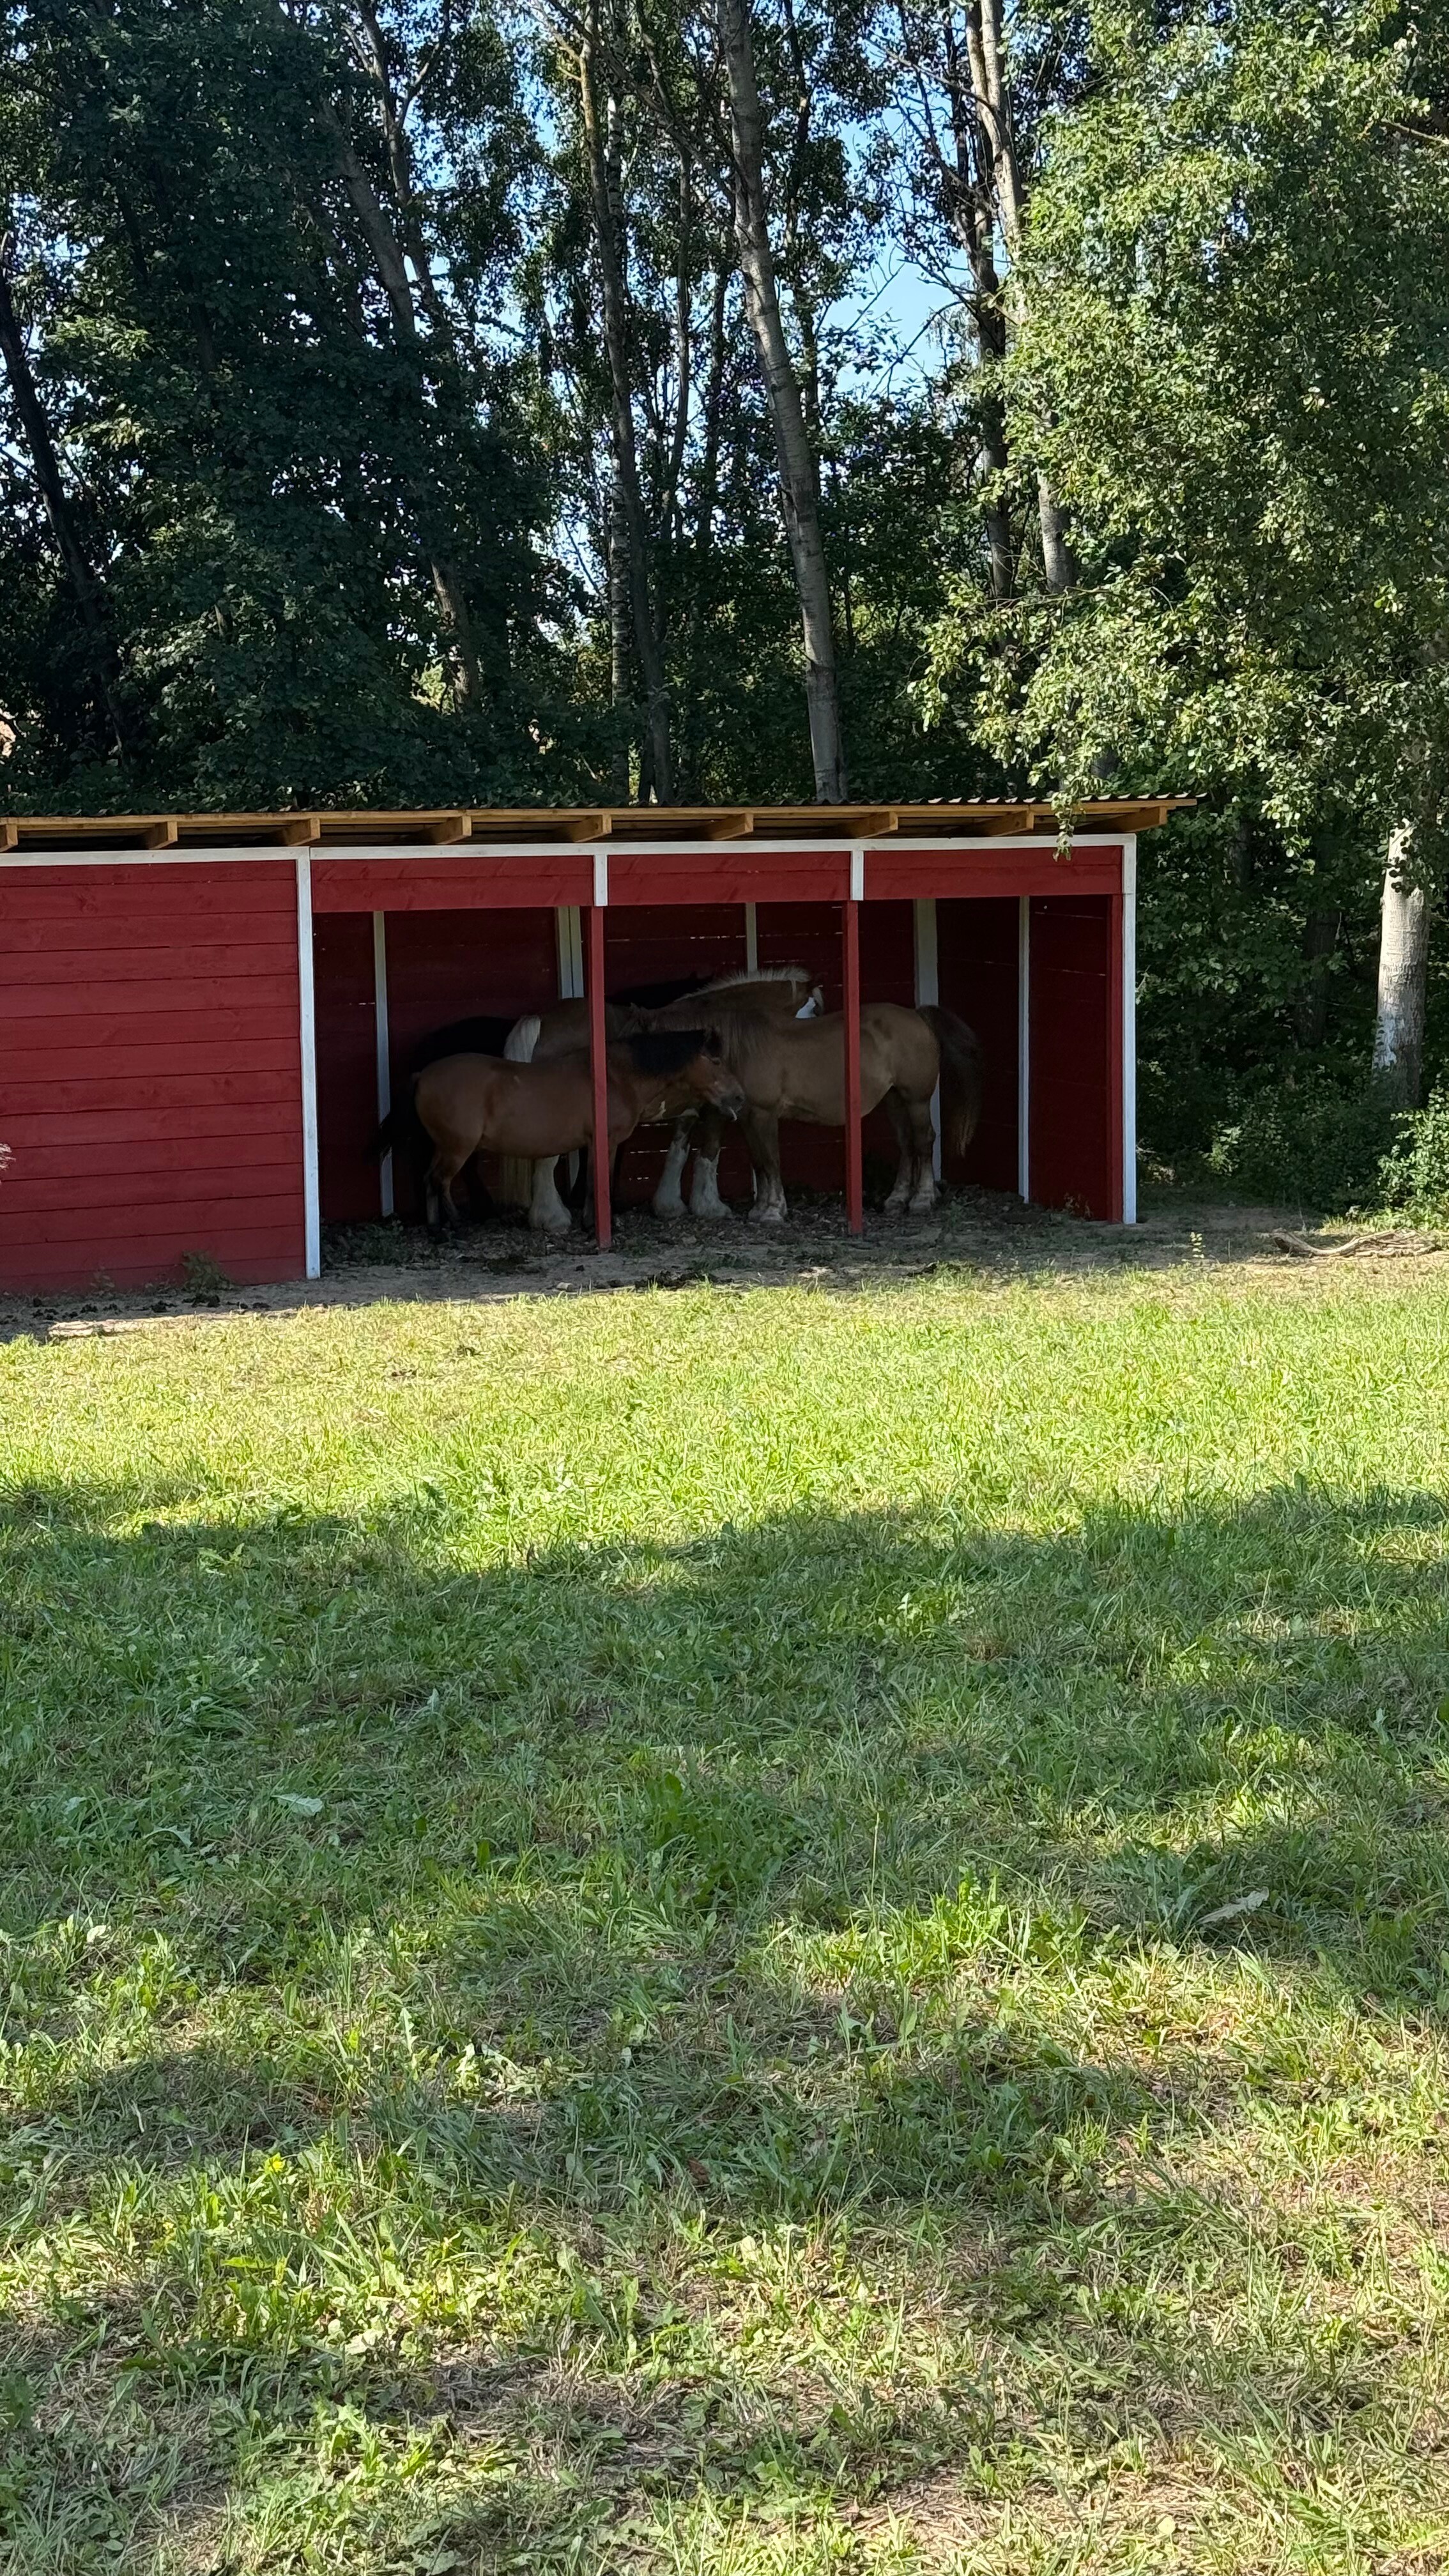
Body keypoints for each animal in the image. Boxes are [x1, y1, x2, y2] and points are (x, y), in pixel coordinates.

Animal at [410, 1028, 746, 1234]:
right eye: (716, 1060)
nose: (739, 1097)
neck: (615, 1077)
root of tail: (423, 1075)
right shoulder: (605, 1142)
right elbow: (600, 1182)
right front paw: (599, 1225)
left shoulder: (594, 1144)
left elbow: (590, 1182)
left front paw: (588, 1223)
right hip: (457, 1148)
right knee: (440, 1181)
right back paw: (452, 1226)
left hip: (444, 1146)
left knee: (429, 1180)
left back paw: (435, 1228)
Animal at [676, 1002, 982, 1223]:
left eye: (711, 1060)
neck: (747, 1049)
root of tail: (917, 1015)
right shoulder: (750, 1119)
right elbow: (760, 1163)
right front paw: (760, 1210)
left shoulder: (765, 1115)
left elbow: (772, 1161)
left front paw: (774, 1211)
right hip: (894, 1100)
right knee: (906, 1145)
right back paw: (896, 1200)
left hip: (916, 1100)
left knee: (923, 1141)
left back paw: (922, 1199)